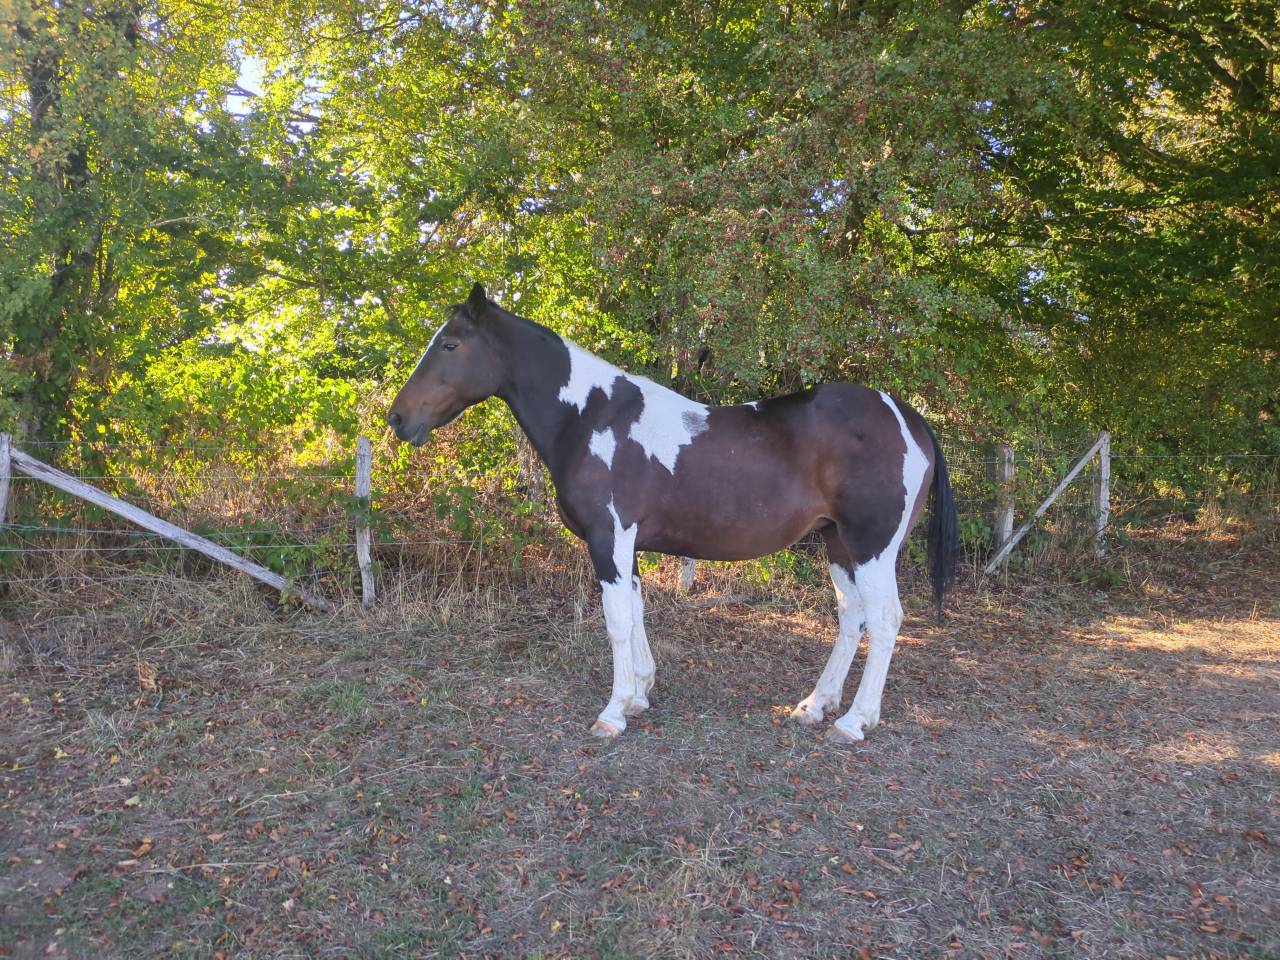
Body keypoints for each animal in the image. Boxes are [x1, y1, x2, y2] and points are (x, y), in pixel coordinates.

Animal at [388, 283, 957, 743]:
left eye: (450, 344)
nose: (397, 418)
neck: (590, 419)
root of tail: (907, 416)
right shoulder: (628, 545)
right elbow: (637, 611)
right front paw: (640, 694)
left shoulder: (609, 538)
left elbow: (617, 619)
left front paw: (614, 712)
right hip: (838, 544)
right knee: (850, 617)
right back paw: (815, 706)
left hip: (872, 546)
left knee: (884, 621)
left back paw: (855, 722)